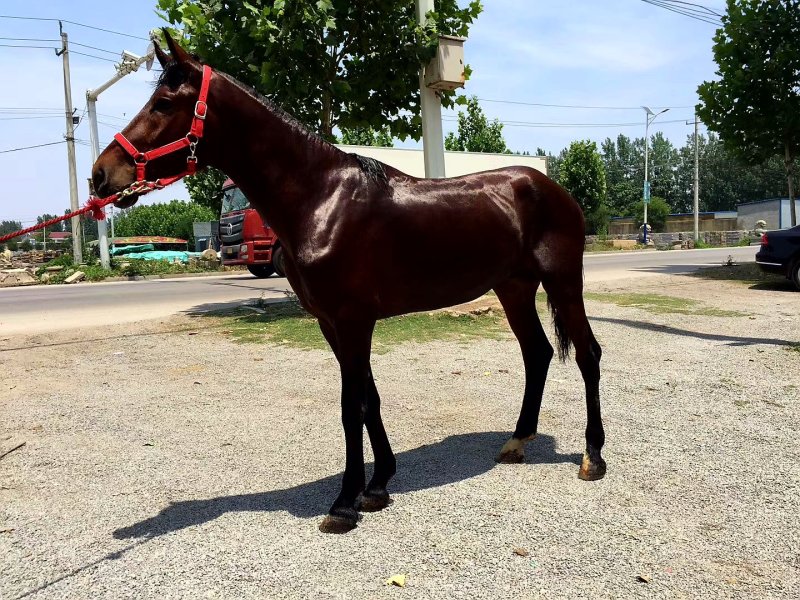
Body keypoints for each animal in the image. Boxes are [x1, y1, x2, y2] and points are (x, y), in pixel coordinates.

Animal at [91, 32, 606, 534]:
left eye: (162, 103)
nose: (101, 173)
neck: (322, 200)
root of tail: (553, 189)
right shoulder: (332, 323)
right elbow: (369, 398)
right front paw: (377, 485)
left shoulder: (354, 320)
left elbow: (350, 405)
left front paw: (344, 503)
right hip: (513, 288)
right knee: (537, 353)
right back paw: (517, 441)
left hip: (562, 281)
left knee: (587, 354)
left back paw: (592, 457)